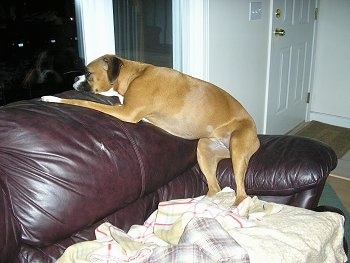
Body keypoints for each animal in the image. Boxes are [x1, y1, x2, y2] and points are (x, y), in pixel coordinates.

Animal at [41, 54, 260, 206]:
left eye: (88, 73)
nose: (75, 78)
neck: (134, 75)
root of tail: (256, 134)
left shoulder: (126, 113)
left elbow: (84, 102)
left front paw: (53, 98)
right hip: (205, 148)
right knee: (214, 188)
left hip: (237, 148)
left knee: (242, 194)